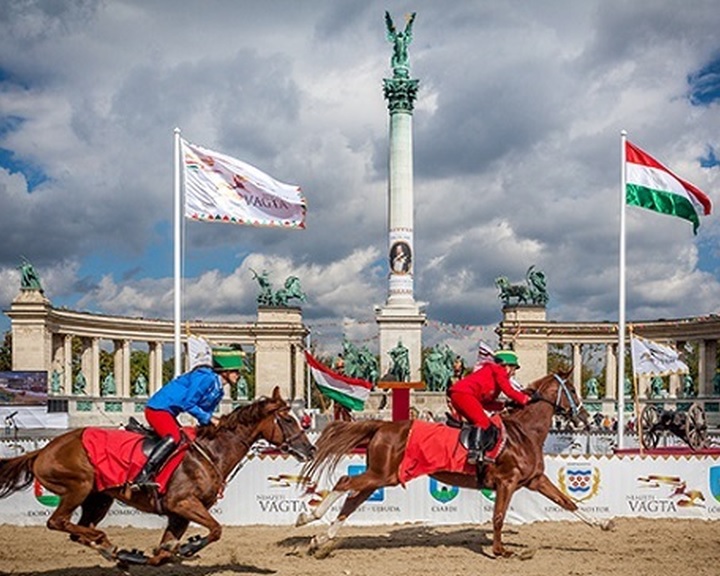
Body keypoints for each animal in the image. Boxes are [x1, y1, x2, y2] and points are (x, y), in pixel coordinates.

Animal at [0, 388, 316, 568]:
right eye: (289, 420)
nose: (310, 449)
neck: (211, 453)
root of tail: (42, 450)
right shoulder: (182, 504)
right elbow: (215, 530)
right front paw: (189, 547)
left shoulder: (179, 515)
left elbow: (163, 553)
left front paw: (149, 554)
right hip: (78, 486)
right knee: (58, 522)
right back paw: (107, 544)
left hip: (98, 498)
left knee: (78, 530)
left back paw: (111, 550)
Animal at [298, 372, 612, 556]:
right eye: (572, 389)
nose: (585, 418)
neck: (525, 432)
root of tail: (382, 426)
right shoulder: (507, 482)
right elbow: (498, 517)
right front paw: (500, 550)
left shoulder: (534, 480)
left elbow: (567, 502)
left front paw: (603, 523)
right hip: (382, 475)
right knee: (344, 483)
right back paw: (309, 517)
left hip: (381, 475)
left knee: (352, 499)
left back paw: (320, 539)